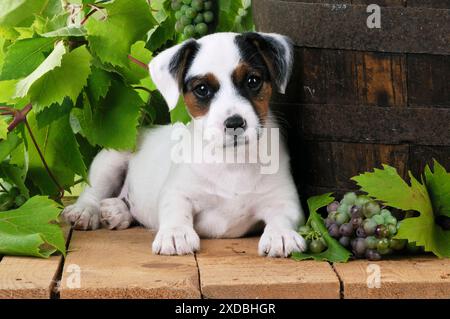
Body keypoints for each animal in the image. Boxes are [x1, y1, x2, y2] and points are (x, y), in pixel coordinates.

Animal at [63, 31, 308, 258]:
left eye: (253, 81)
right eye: (202, 89)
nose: (234, 123)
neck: (232, 160)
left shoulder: (284, 200)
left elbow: (282, 217)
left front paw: (280, 235)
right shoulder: (177, 192)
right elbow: (175, 210)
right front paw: (175, 234)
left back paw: (117, 211)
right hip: (110, 160)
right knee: (93, 191)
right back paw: (85, 212)